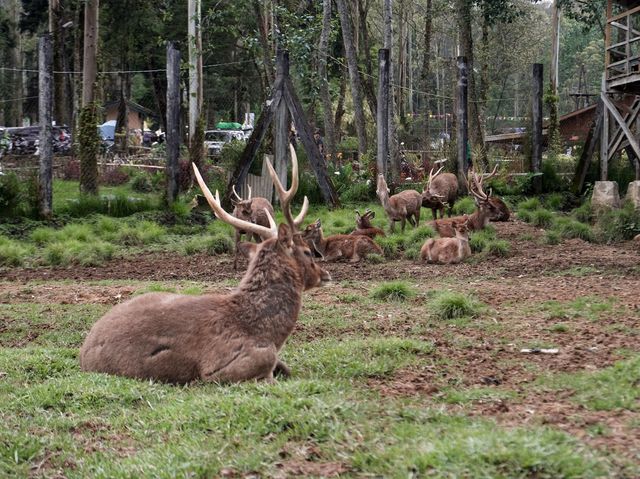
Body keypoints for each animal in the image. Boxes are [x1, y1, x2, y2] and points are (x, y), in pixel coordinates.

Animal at [80, 144, 330, 384]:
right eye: (307, 252)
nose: (326, 273)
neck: (268, 334)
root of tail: (84, 348)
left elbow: (287, 369)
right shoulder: (228, 366)